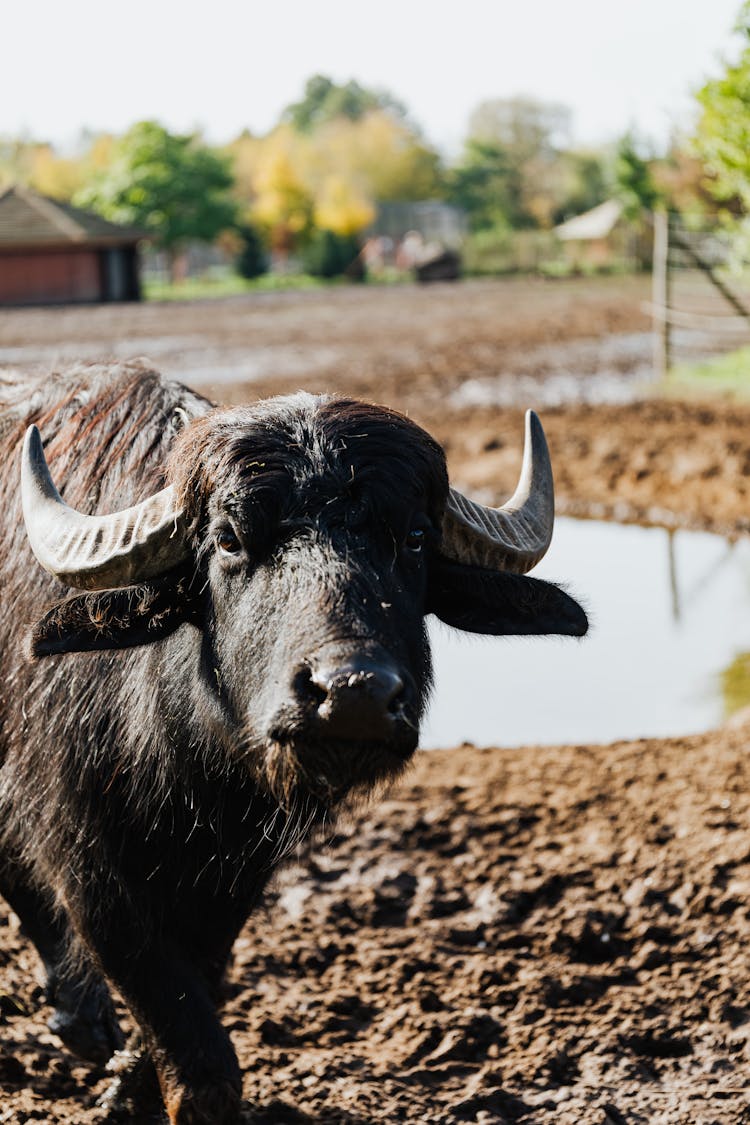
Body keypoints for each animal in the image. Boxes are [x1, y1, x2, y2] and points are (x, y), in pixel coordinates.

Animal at [0, 364, 584, 1120]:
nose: (353, 692)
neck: (181, 760)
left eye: (414, 538)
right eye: (228, 539)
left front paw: (129, 1084)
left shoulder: (232, 871)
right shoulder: (82, 851)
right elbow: (184, 1028)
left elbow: (196, 986)